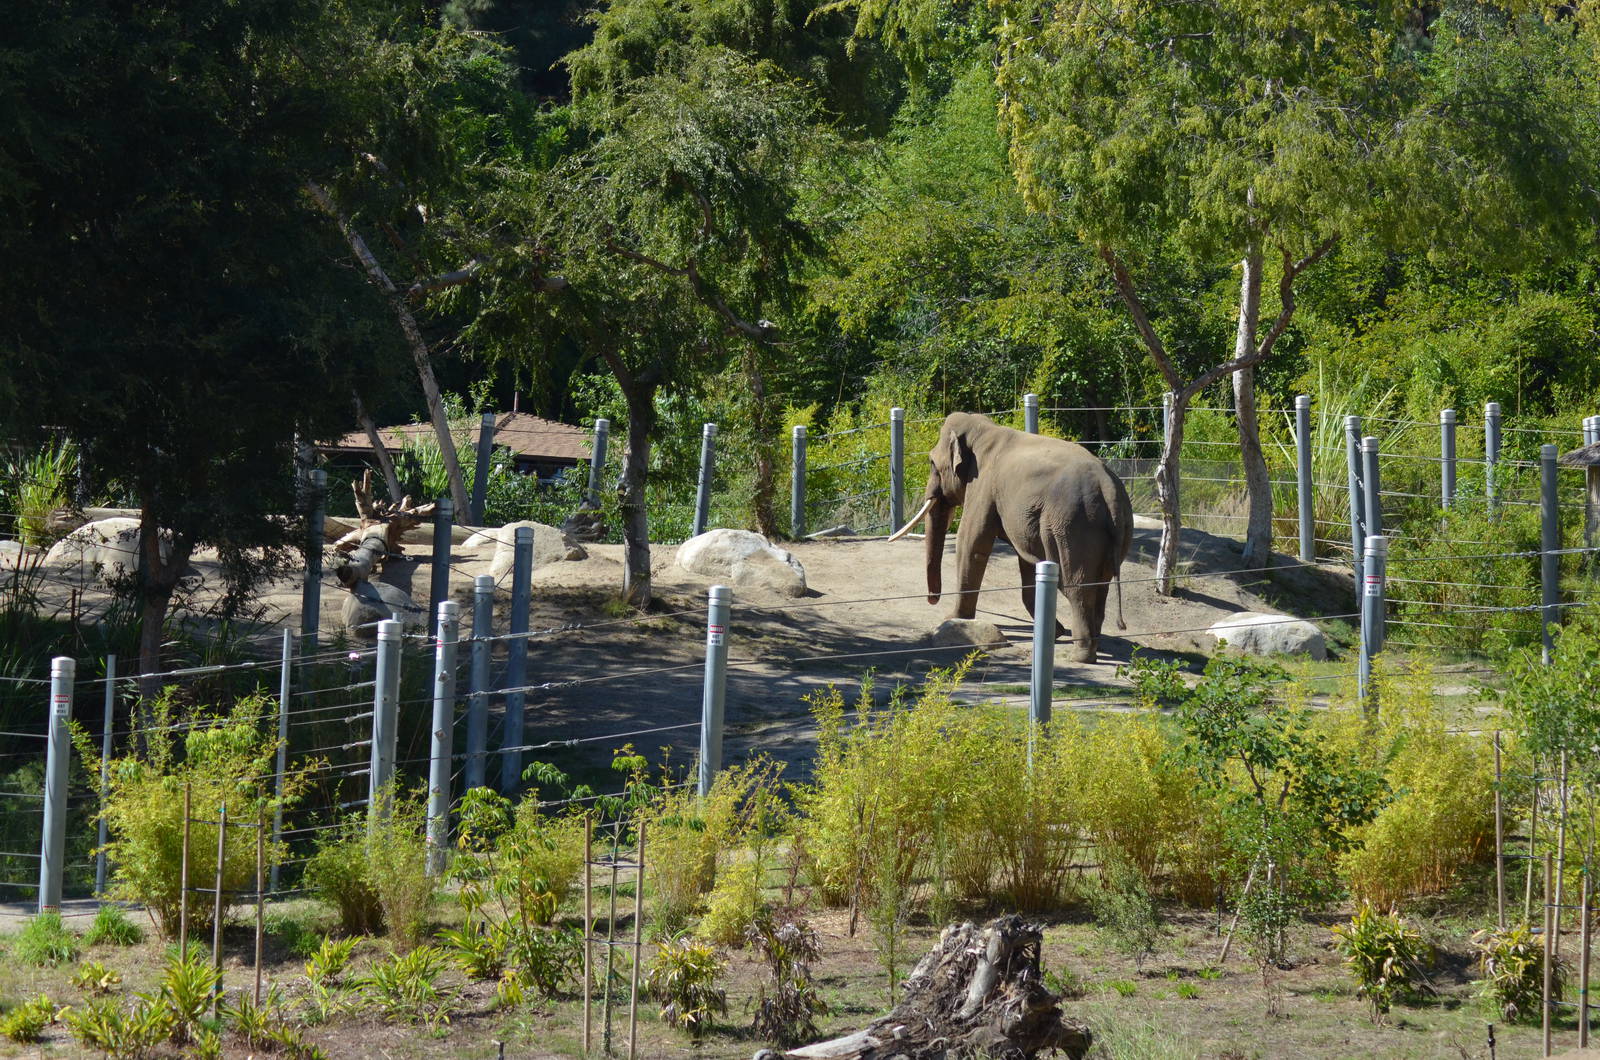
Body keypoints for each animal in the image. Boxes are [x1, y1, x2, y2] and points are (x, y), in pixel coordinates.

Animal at [889, 412, 1134, 663]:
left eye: (932, 463)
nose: (932, 600)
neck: (985, 429)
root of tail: (1108, 489)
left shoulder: (983, 485)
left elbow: (971, 542)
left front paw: (953, 618)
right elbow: (1027, 560)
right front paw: (1054, 632)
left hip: (1074, 526)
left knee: (1078, 588)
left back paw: (1080, 656)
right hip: (1116, 528)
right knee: (1100, 587)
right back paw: (1089, 647)